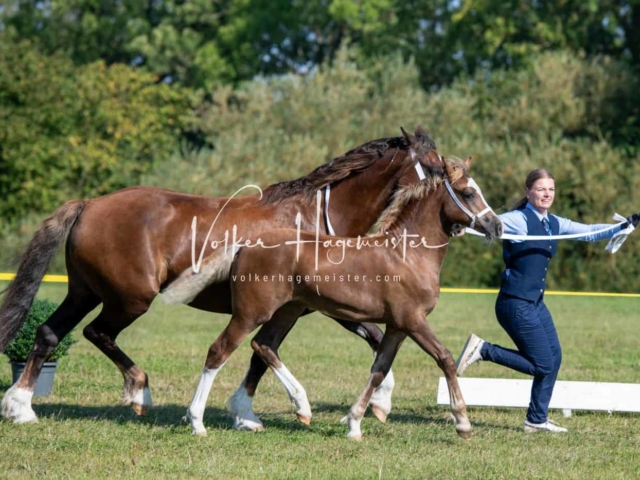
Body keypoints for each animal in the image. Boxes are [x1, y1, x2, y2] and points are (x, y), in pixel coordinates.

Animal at [0, 125, 440, 426]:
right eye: (434, 164)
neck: (314, 217)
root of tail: (89, 204)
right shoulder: (309, 307)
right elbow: (271, 351)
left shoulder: (307, 307)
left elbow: (270, 353)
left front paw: (245, 413)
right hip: (130, 299)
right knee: (97, 332)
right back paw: (139, 391)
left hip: (85, 291)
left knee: (50, 333)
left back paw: (20, 407)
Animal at [171, 144, 504, 440]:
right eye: (468, 193)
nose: (497, 226)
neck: (406, 254)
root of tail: (246, 244)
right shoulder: (413, 320)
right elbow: (445, 358)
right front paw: (462, 423)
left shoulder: (397, 326)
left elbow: (379, 369)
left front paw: (355, 423)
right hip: (250, 314)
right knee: (219, 351)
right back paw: (197, 422)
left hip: (287, 311)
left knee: (263, 345)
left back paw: (300, 408)